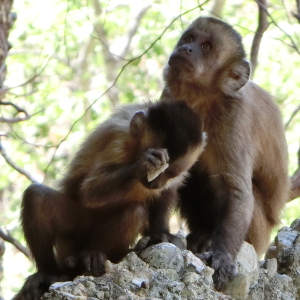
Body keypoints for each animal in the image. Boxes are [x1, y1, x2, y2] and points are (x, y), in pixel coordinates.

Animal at [14, 101, 206, 300]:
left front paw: (161, 234)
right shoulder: (118, 138)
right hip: (71, 233)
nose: (155, 182)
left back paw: (95, 255)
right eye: (157, 169)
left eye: (170, 173)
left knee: (133, 213)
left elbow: (167, 192)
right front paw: (143, 163)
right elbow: (90, 190)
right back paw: (51, 272)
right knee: (36, 197)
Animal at [162, 15, 290, 290]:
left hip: (260, 234)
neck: (203, 101)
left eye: (206, 47)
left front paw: (221, 255)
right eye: (190, 38)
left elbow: (236, 190)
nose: (187, 49)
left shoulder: (233, 117)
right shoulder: (170, 100)